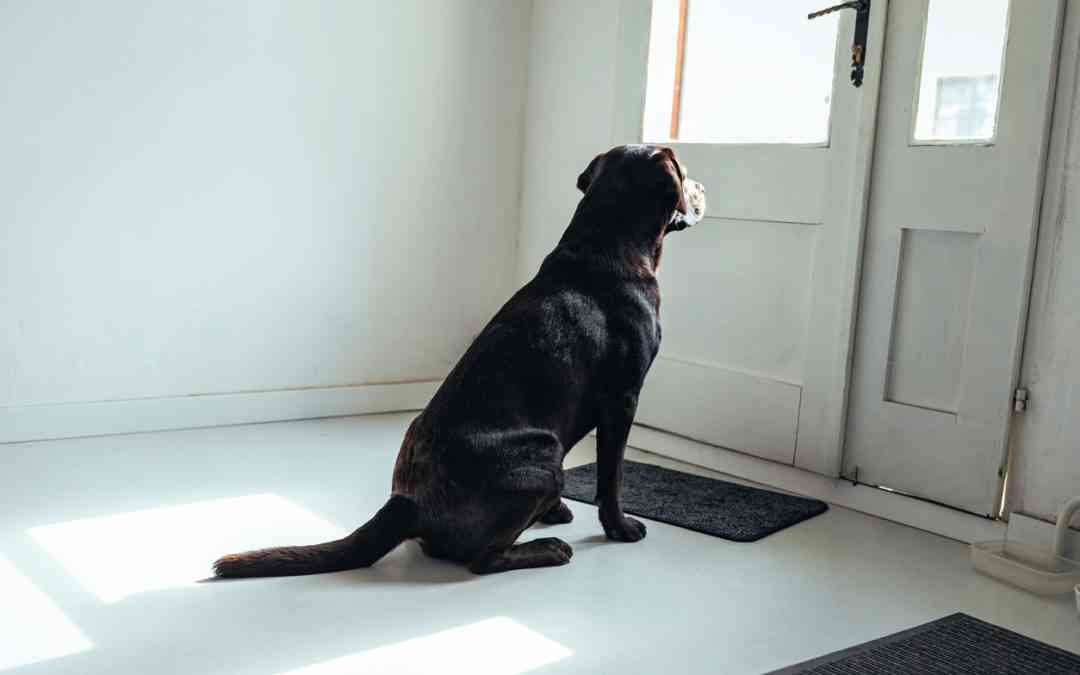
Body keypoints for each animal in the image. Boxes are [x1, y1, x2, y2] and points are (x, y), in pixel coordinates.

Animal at [217, 144, 708, 574]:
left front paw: (558, 512)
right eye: (684, 172)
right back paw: (547, 549)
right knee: (482, 559)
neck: (605, 243)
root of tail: (406, 504)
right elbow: (611, 477)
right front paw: (620, 528)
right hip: (544, 454)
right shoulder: (622, 398)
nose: (704, 185)